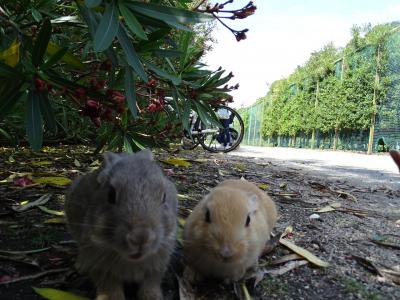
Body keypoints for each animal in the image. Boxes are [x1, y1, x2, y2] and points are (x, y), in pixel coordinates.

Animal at [65, 150, 177, 300]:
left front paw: (152, 297)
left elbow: (151, 282)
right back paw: (81, 266)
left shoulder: (157, 264)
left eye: (164, 195)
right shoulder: (99, 263)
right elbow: (109, 286)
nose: (140, 237)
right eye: (111, 195)